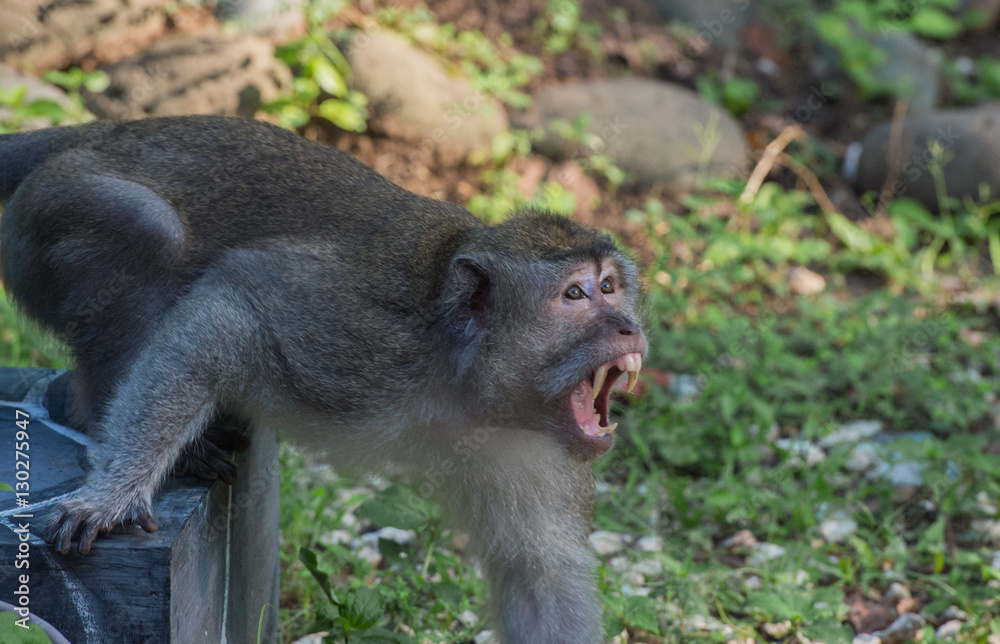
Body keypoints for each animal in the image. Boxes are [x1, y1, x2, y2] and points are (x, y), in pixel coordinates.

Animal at [0, 117, 648, 644]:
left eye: (610, 286)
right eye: (575, 295)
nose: (629, 327)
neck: (470, 382)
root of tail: (103, 131)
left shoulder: (532, 451)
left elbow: (538, 577)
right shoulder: (363, 341)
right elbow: (231, 307)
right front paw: (112, 493)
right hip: (58, 211)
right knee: (146, 228)